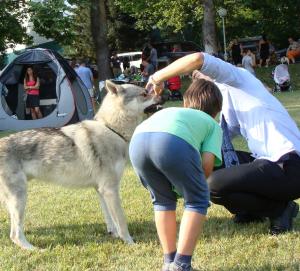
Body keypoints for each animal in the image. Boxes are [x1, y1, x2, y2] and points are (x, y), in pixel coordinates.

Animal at [0, 80, 159, 251]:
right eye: (144, 94)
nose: (163, 94)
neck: (111, 129)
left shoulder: (101, 190)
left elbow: (110, 218)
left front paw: (114, 234)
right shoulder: (110, 189)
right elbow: (121, 220)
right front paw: (130, 242)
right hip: (20, 198)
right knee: (15, 235)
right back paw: (35, 249)